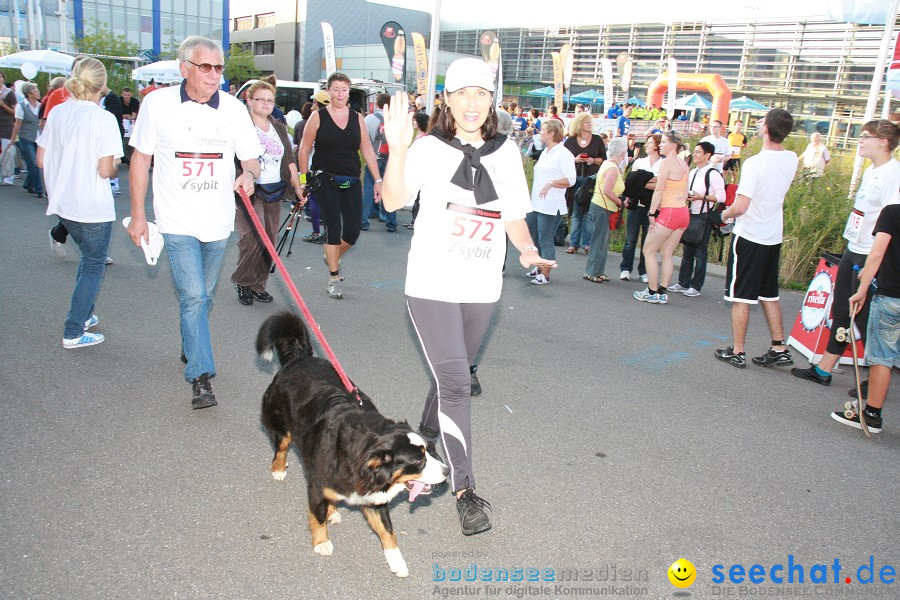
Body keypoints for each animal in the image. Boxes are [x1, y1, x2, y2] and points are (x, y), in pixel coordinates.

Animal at [256, 310, 446, 576]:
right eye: (418, 460)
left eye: (430, 451)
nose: (447, 472)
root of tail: (300, 357)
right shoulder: (317, 484)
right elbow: (316, 515)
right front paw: (321, 541)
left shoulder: (373, 498)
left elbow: (388, 531)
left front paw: (397, 561)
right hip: (281, 425)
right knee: (281, 446)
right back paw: (279, 469)